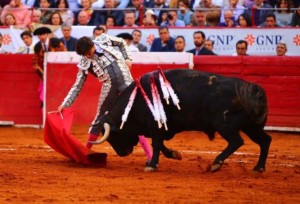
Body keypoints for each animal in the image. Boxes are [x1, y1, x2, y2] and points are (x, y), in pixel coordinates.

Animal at [91, 69, 272, 172]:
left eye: (113, 136)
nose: (123, 153)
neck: (136, 101)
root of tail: (253, 88)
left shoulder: (155, 126)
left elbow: (156, 144)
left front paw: (152, 165)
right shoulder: (162, 128)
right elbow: (161, 146)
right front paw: (174, 154)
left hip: (224, 124)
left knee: (236, 141)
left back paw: (216, 164)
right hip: (252, 126)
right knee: (265, 140)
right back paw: (259, 167)